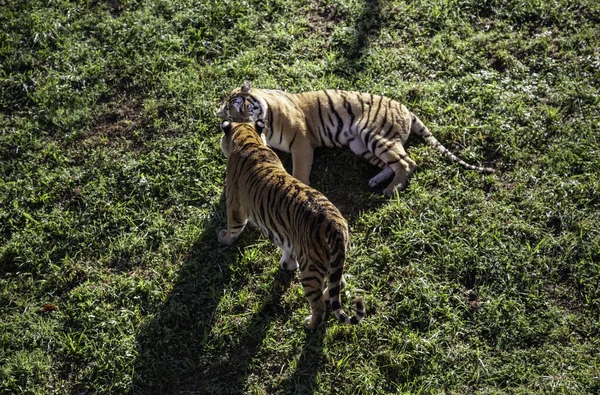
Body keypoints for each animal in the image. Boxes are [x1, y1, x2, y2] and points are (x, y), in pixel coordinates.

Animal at [217, 119, 364, 330]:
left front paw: (223, 238)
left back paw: (310, 324)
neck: (249, 140)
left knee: (318, 305)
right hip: (335, 262)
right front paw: (287, 264)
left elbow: (233, 227)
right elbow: (286, 248)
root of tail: (335, 226)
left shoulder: (235, 205)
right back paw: (327, 296)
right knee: (338, 284)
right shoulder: (287, 234)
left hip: (310, 268)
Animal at [218, 82, 494, 198]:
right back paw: (376, 181)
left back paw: (391, 190)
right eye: (232, 115)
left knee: (408, 163)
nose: (243, 121)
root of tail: (406, 109)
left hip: (375, 135)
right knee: (392, 164)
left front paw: (298, 187)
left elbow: (299, 171)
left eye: (242, 106)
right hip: (360, 144)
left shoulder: (302, 142)